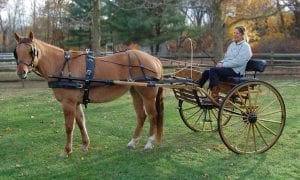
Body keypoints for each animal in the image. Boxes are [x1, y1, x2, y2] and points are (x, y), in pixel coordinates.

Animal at [14, 31, 164, 158]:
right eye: (16, 52)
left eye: (31, 51)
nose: (21, 72)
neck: (62, 66)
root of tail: (155, 59)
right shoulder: (76, 103)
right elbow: (81, 123)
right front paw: (85, 145)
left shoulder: (68, 103)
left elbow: (69, 127)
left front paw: (66, 151)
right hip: (136, 92)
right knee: (141, 115)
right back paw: (133, 142)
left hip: (148, 96)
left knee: (153, 116)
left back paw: (149, 143)